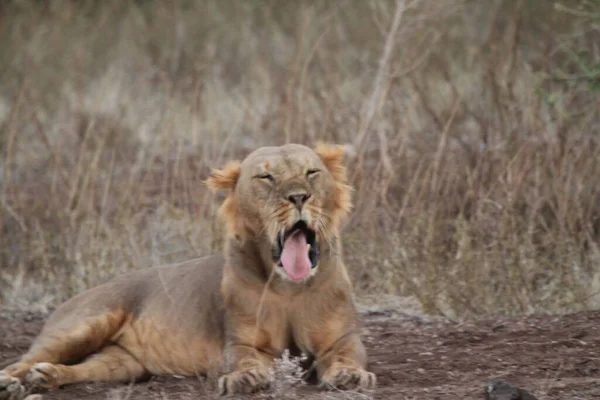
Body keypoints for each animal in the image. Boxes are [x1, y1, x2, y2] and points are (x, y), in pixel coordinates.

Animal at [0, 143, 376, 396]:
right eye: (266, 177)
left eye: (312, 172)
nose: (299, 196)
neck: (289, 288)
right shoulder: (241, 341)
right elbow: (244, 360)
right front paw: (245, 379)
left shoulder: (342, 339)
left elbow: (347, 357)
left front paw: (351, 377)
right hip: (83, 325)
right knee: (21, 360)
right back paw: (11, 383)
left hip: (123, 365)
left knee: (84, 368)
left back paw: (45, 376)